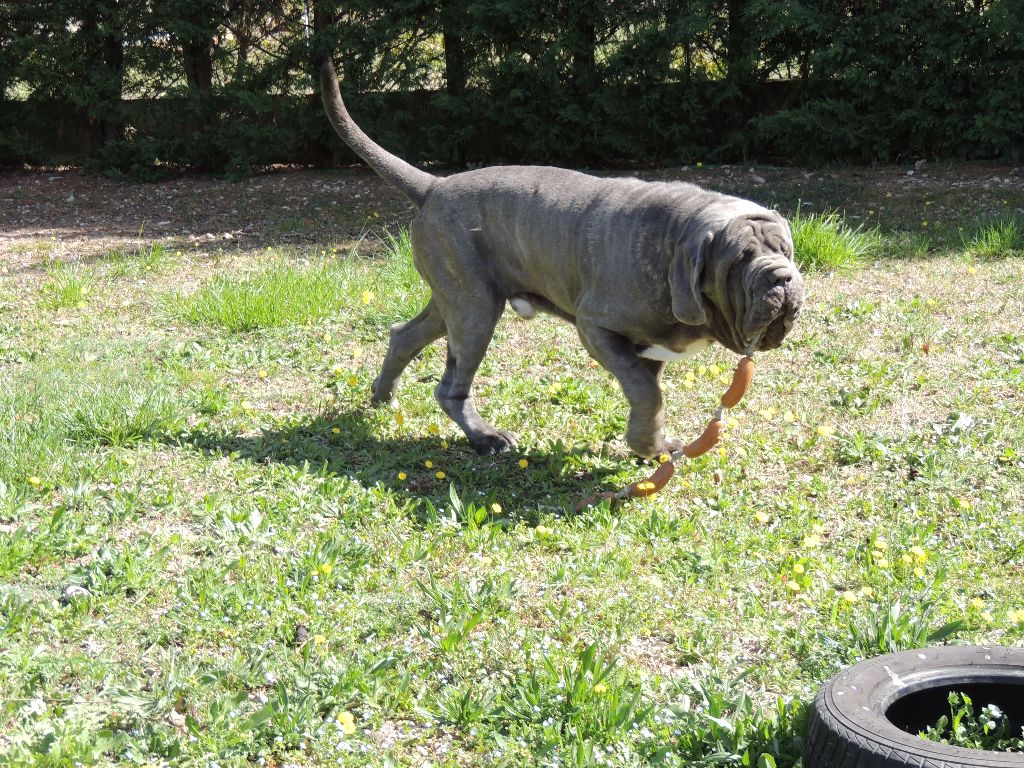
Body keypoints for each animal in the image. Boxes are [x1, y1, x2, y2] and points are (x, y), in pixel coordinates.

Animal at [317, 61, 798, 456]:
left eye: (785, 251)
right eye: (738, 260)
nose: (782, 279)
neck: (675, 241)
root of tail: (434, 185)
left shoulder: (648, 351)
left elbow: (649, 391)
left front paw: (656, 445)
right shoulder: (597, 328)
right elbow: (648, 393)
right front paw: (645, 445)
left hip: (456, 299)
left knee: (405, 335)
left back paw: (382, 396)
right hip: (475, 311)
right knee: (451, 385)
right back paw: (486, 437)